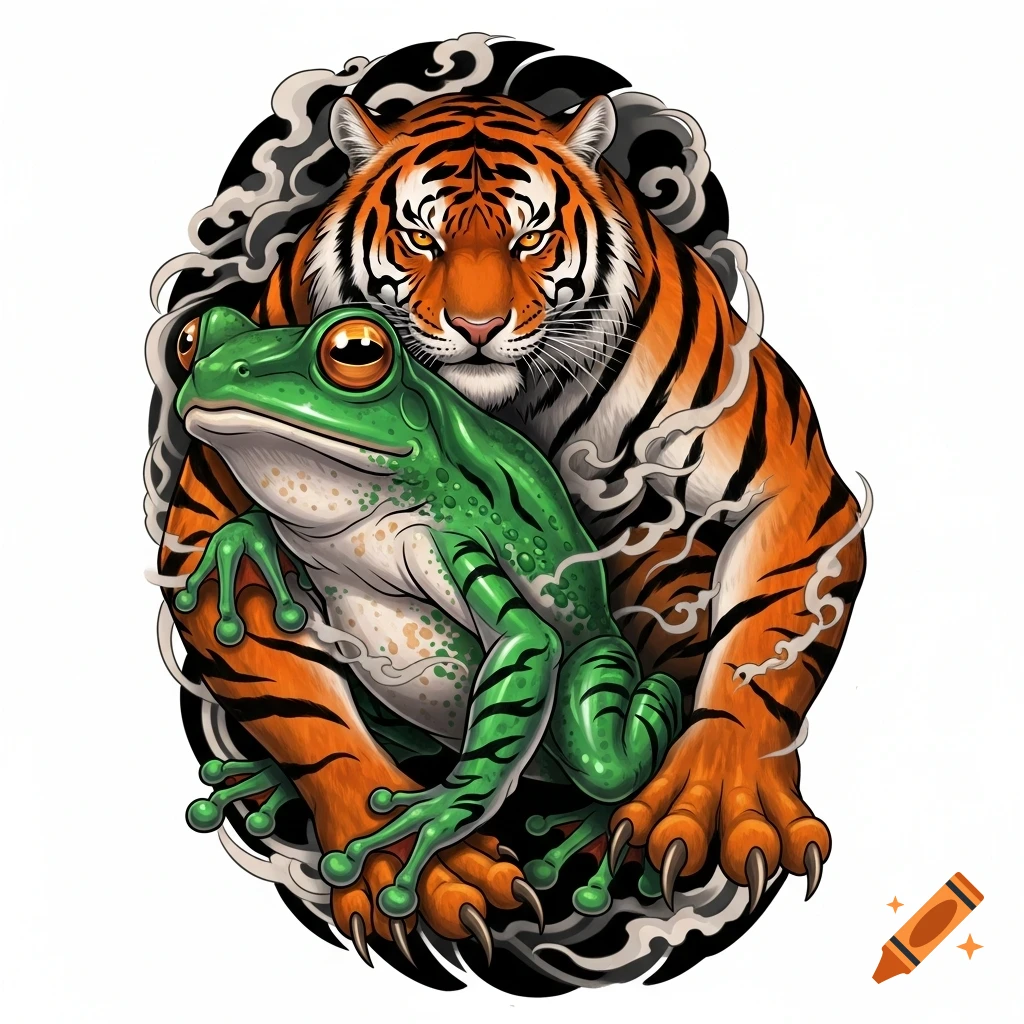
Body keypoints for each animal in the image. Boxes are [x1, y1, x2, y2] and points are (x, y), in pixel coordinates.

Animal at [159, 92, 866, 956]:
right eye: (194, 338)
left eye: (354, 352)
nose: (477, 325)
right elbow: (279, 655)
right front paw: (241, 553)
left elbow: (537, 650)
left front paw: (434, 821)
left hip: (601, 673)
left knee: (616, 747)